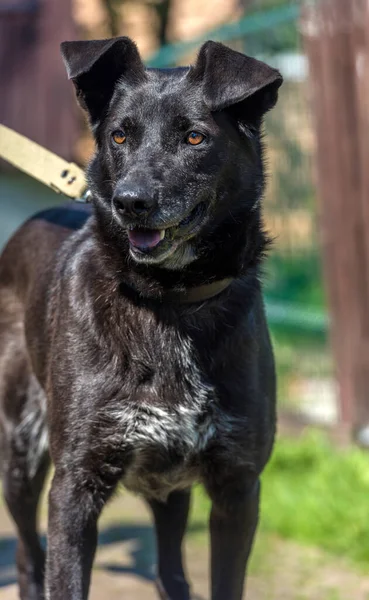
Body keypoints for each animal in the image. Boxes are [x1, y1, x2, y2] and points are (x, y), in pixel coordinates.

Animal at [0, 37, 282, 600]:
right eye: (119, 135)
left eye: (195, 137)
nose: (130, 202)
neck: (171, 302)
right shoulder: (74, 488)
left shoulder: (238, 489)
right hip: (21, 450)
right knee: (27, 552)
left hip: (169, 490)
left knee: (170, 571)